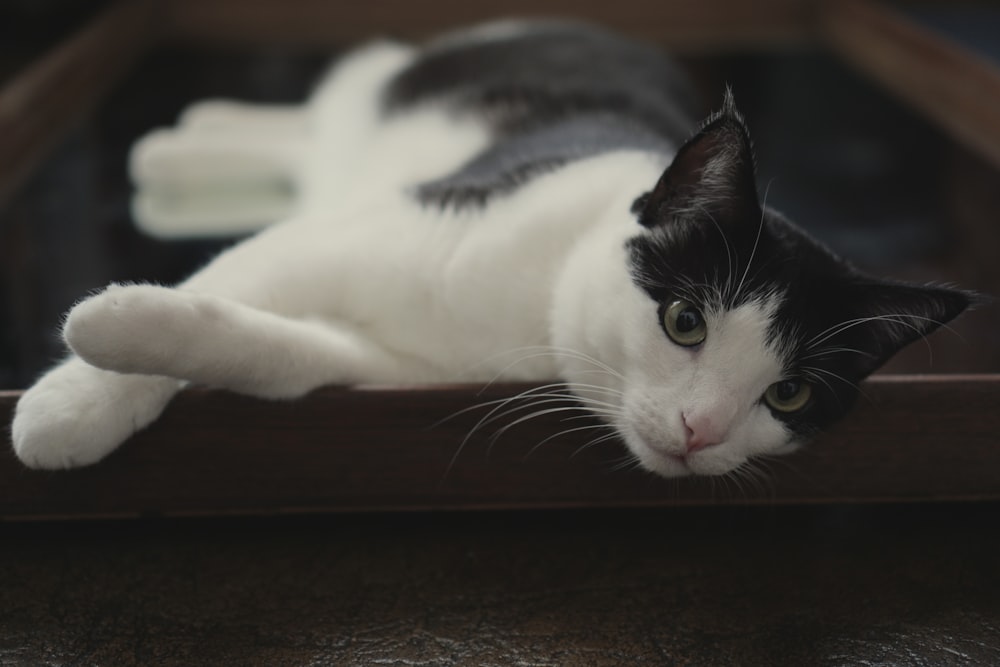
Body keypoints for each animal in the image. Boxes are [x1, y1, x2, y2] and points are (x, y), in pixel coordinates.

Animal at [11, 20, 972, 480]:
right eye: (684, 322)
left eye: (788, 393)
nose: (704, 430)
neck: (534, 309)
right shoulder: (352, 233)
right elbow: (235, 271)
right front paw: (78, 392)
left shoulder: (384, 363)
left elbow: (266, 349)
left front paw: (114, 354)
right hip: (388, 90)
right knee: (324, 111)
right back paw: (186, 138)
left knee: (302, 146)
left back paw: (186, 141)